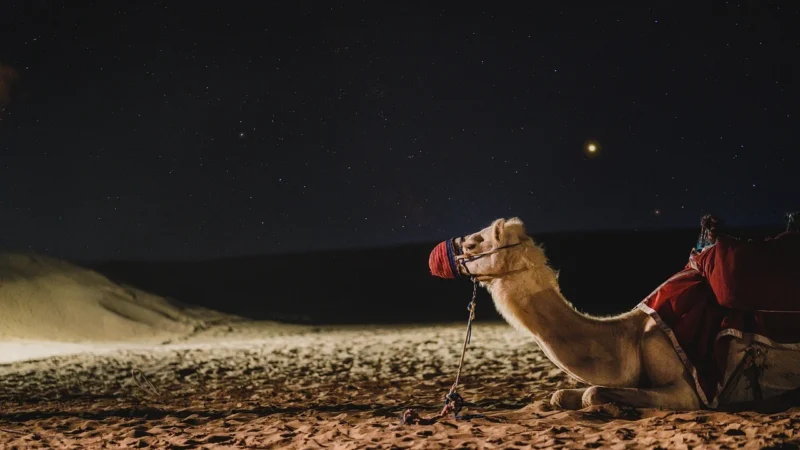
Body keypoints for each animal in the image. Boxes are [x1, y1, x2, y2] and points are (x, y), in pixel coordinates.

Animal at [449, 217, 707, 411]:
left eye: (472, 245)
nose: (451, 250)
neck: (627, 337)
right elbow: (560, 395)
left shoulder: (684, 388)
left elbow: (591, 393)